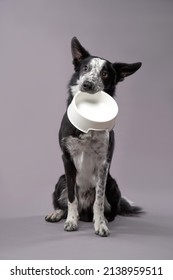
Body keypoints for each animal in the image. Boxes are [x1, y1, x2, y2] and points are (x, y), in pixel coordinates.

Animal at [45, 35, 143, 236]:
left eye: (105, 73)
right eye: (85, 68)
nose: (87, 84)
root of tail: (84, 212)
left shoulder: (104, 163)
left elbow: (98, 200)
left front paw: (100, 225)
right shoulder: (66, 158)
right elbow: (71, 198)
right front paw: (71, 221)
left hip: (113, 185)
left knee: (111, 210)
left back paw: (103, 218)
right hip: (61, 179)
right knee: (64, 203)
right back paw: (58, 213)